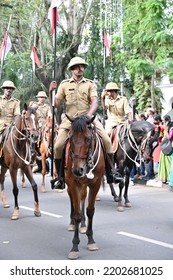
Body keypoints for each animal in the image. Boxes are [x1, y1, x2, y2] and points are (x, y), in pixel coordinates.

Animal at [64, 115, 104, 260]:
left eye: (87, 138)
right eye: (70, 138)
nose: (78, 170)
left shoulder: (95, 183)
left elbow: (90, 211)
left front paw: (91, 240)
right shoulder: (73, 182)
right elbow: (77, 214)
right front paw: (75, 246)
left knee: (82, 198)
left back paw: (83, 225)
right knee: (72, 197)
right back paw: (73, 224)